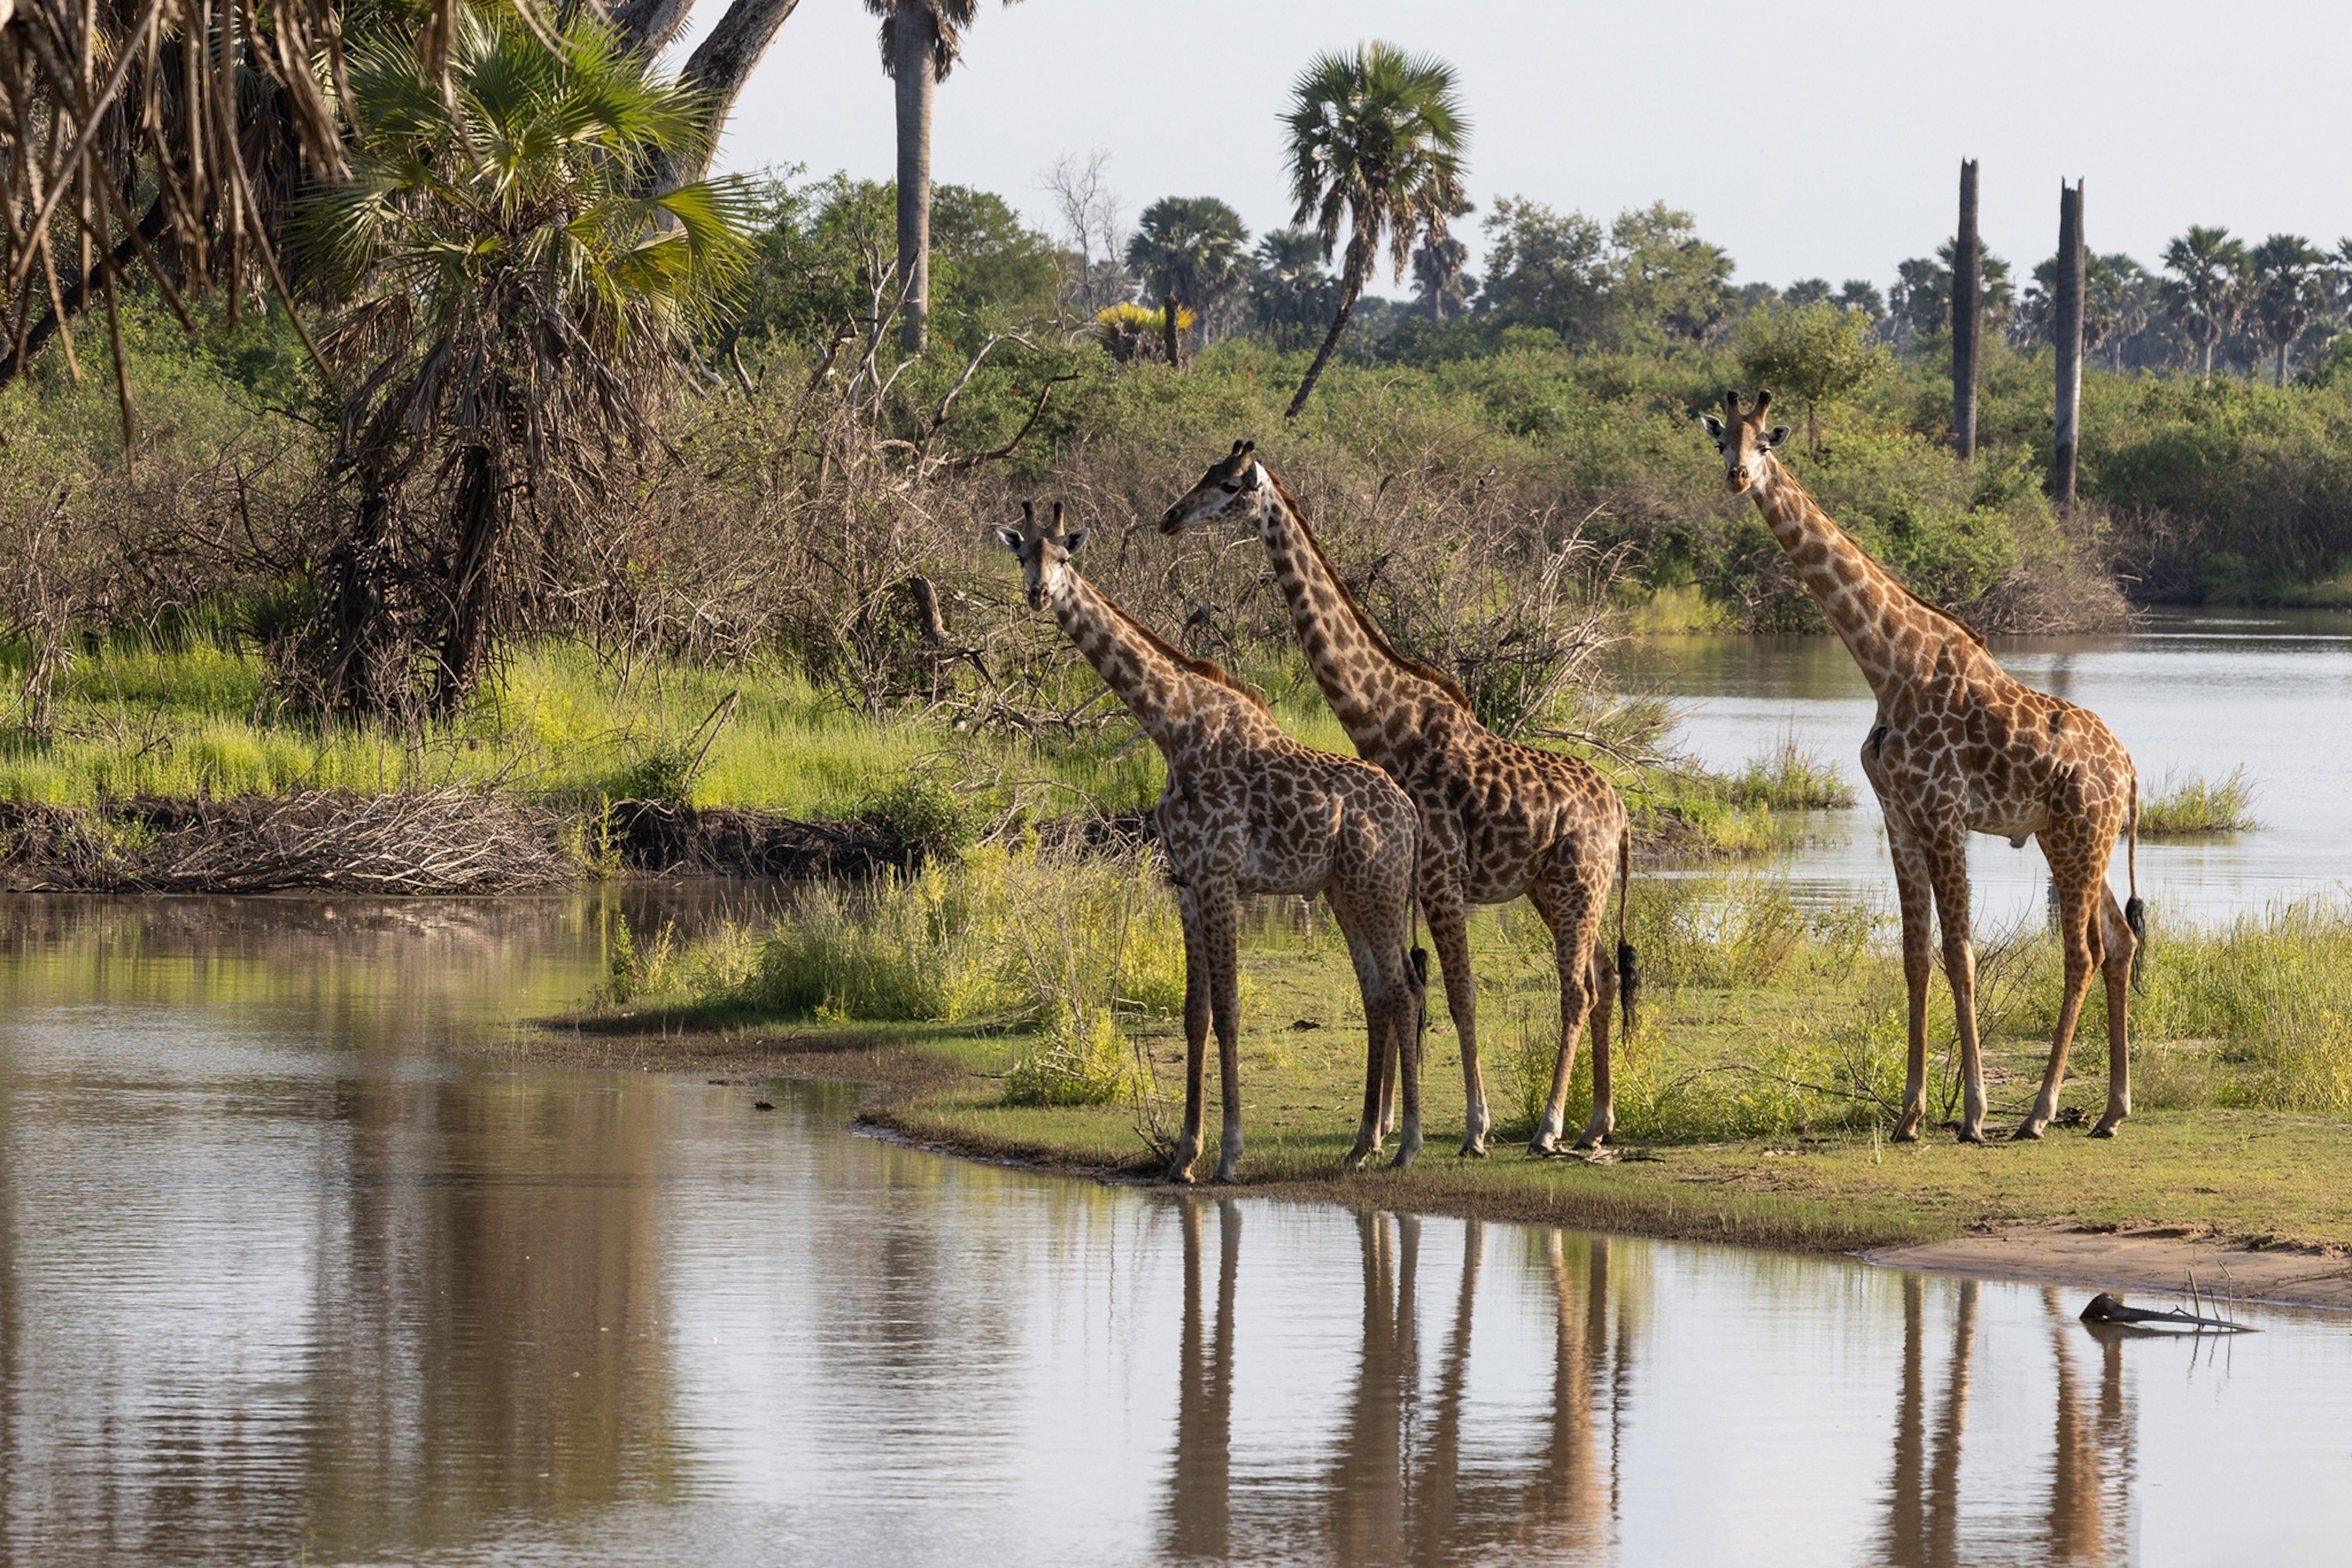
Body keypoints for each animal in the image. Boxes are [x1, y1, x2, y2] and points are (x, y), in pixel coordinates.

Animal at [995, 502, 1426, 1181]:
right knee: (1380, 992)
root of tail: (1410, 814)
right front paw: (1183, 1154)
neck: (1174, 731)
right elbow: (1194, 1013)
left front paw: (1228, 1152)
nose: (1039, 593)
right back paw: (1363, 1142)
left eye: (1064, 555)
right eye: (1021, 555)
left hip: (1379, 890)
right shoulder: (1185, 881)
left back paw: (1407, 1143)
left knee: (1405, 990)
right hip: (1344, 892)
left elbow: (1228, 1009)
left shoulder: (1222, 878)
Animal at [1161, 446, 1635, 1157]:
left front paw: (1472, 1127)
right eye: (1203, 473)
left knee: (1576, 988)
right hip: (1556, 890)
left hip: (1577, 885)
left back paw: (1548, 1128)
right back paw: (1596, 1120)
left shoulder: (1438, 877)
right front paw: (1384, 1125)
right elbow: (1395, 990)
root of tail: (1622, 813)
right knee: (1603, 978)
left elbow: (1457, 995)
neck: (1383, 723)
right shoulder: (1394, 880)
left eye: (1227, 484)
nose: (1170, 517)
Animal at [1702, 390, 2144, 1143]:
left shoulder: (1943, 814)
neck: (1886, 665)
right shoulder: (1899, 818)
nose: (1737, 478)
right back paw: (2112, 1111)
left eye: (1764, 444)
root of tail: (2132, 771)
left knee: (2082, 952)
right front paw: (1909, 1114)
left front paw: (1972, 1112)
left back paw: (2039, 1113)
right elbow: (1914, 957)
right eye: (1721, 441)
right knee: (2120, 943)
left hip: (2073, 837)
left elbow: (1959, 954)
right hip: (2086, 841)